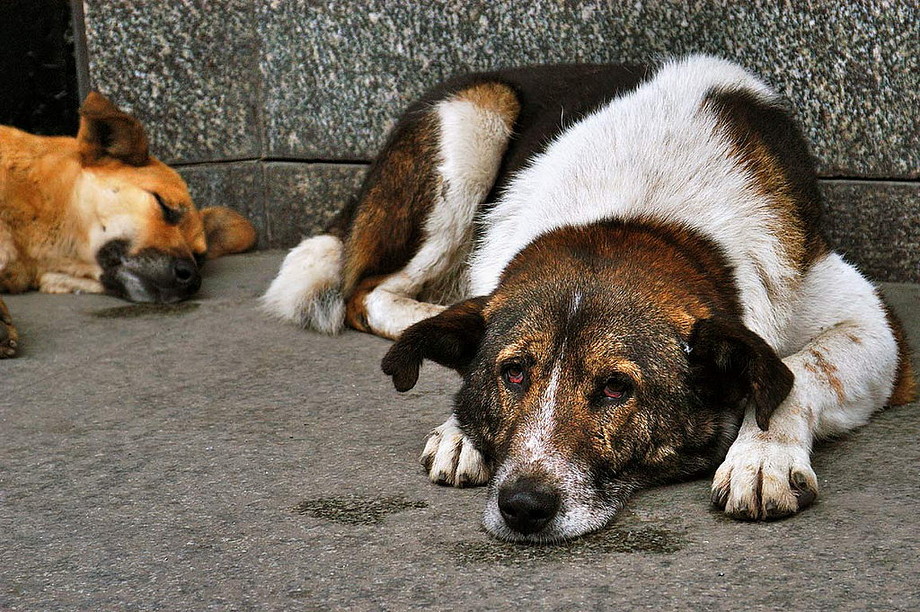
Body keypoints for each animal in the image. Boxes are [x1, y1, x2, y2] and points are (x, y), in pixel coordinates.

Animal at [264, 55, 912, 544]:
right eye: (514, 374)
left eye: (616, 388)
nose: (523, 506)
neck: (637, 216)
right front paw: (458, 424)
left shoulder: (876, 325)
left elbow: (801, 370)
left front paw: (761, 456)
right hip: (474, 113)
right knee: (365, 291)